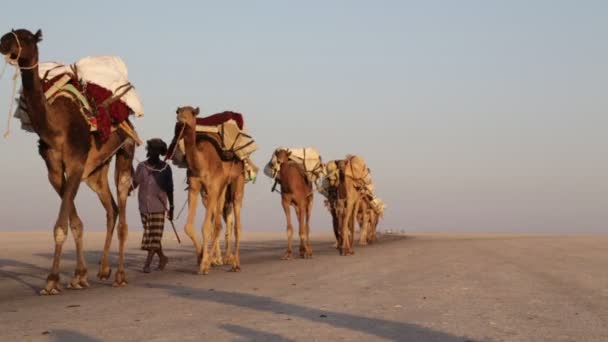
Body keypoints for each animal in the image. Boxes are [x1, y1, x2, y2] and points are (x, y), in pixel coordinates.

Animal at [0, 28, 135, 294]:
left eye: (26, 37)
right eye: (9, 33)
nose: (3, 43)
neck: (56, 127)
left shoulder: (75, 163)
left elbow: (62, 226)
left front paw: (52, 280)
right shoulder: (54, 171)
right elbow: (75, 223)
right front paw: (79, 276)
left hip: (125, 150)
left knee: (122, 213)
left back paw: (120, 275)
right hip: (96, 172)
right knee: (111, 209)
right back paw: (103, 270)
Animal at [176, 105, 245, 274]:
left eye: (192, 113)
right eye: (178, 111)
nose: (181, 119)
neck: (201, 163)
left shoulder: (213, 188)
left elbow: (206, 227)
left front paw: (204, 264)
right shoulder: (194, 188)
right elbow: (188, 227)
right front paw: (202, 257)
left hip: (237, 180)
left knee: (235, 223)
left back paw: (235, 263)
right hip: (219, 190)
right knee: (219, 222)